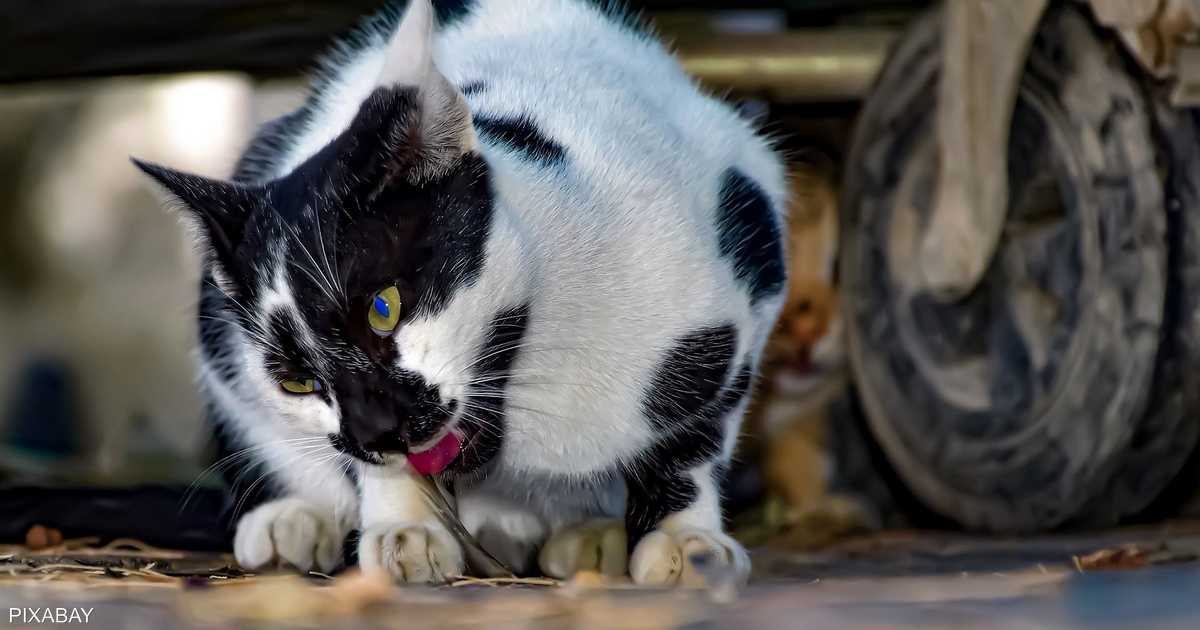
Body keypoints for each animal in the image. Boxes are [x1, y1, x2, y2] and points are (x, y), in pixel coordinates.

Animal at [136, 0, 787, 585]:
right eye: (296, 381)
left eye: (384, 309)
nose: (375, 431)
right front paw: (406, 528)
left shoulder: (748, 252)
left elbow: (696, 437)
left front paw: (686, 540)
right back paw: (292, 520)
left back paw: (587, 534)